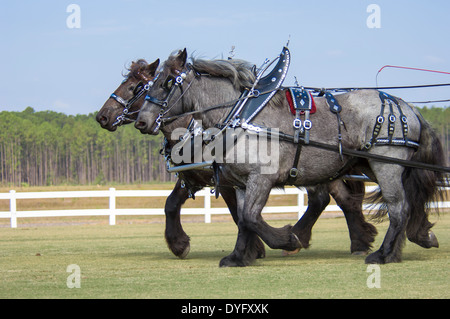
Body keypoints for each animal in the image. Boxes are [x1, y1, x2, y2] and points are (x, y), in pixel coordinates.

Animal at [135, 48, 444, 268]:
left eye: (166, 82)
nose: (141, 121)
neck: (241, 115)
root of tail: (406, 106)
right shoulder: (243, 182)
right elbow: (244, 220)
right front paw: (238, 257)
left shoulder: (262, 177)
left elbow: (251, 217)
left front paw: (287, 238)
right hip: (371, 166)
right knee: (404, 205)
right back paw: (411, 241)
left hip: (386, 164)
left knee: (398, 207)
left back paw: (382, 254)